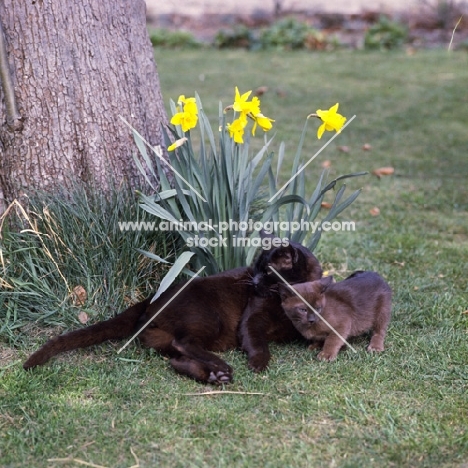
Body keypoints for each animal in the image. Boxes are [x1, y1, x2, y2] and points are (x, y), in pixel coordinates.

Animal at [22, 236, 322, 386]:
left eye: (266, 271)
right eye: (257, 269)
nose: (254, 282)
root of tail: (150, 299)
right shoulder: (251, 319)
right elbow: (257, 342)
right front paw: (258, 363)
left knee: (175, 359)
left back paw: (216, 376)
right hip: (210, 319)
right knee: (184, 343)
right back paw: (222, 369)